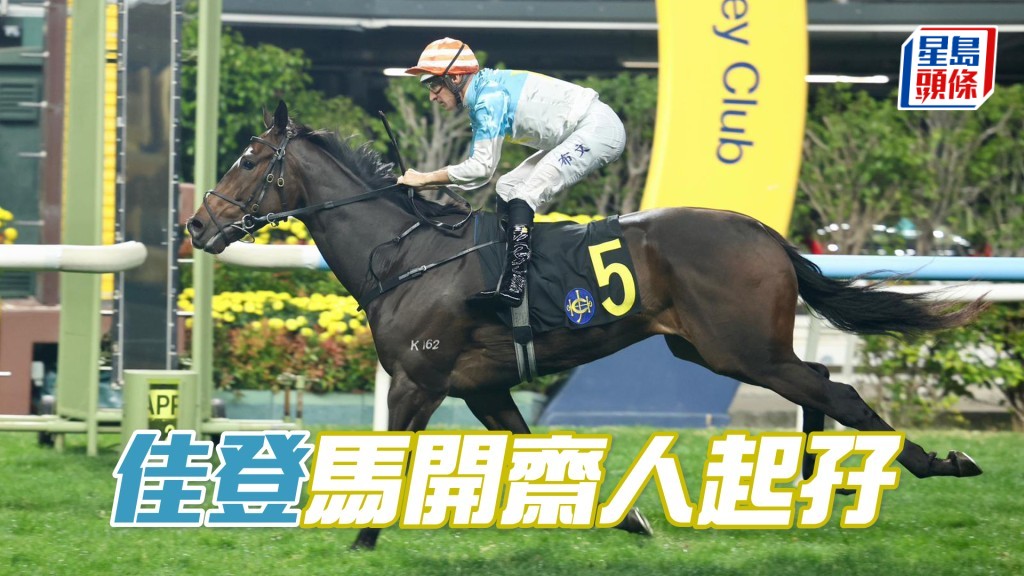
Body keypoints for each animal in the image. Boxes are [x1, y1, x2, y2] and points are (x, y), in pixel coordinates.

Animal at [187, 101, 985, 550]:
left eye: (249, 159)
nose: (196, 225)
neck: (410, 255)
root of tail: (765, 232)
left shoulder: (418, 380)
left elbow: (393, 464)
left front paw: (361, 538)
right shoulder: (483, 389)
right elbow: (529, 452)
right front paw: (629, 521)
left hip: (741, 349)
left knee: (836, 391)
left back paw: (932, 463)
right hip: (714, 351)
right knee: (817, 382)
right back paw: (809, 482)